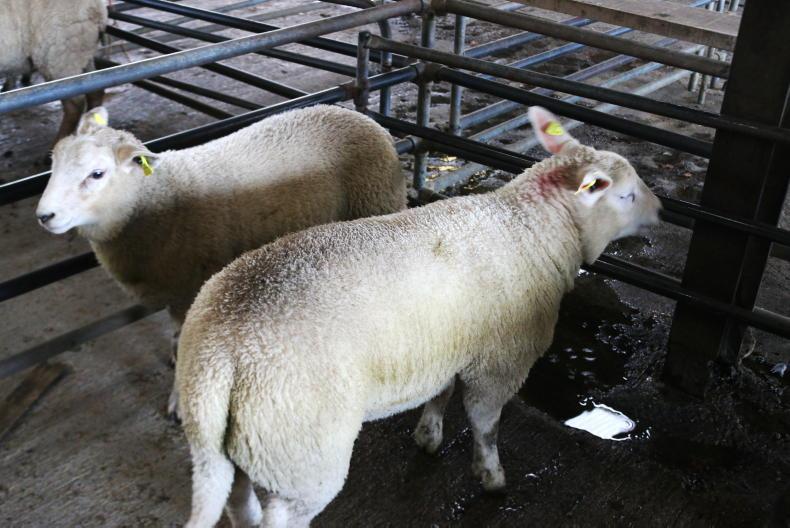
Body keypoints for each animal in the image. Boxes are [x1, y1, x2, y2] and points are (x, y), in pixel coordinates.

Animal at [0, 0, 107, 142]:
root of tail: (98, 9)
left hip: (59, 56)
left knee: (74, 104)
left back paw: (58, 143)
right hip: (81, 55)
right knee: (95, 91)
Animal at [35, 104, 408, 417]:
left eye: (96, 174)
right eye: (53, 165)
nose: (44, 216)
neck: (152, 204)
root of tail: (365, 119)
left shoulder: (190, 289)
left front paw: (179, 401)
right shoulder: (174, 291)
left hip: (376, 205)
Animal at [176, 106, 663, 527]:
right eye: (626, 195)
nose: (661, 211)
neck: (534, 228)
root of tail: (219, 353)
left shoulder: (446, 347)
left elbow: (440, 394)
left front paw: (428, 437)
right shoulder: (499, 362)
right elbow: (486, 426)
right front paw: (492, 478)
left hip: (233, 447)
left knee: (239, 503)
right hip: (300, 450)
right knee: (281, 514)